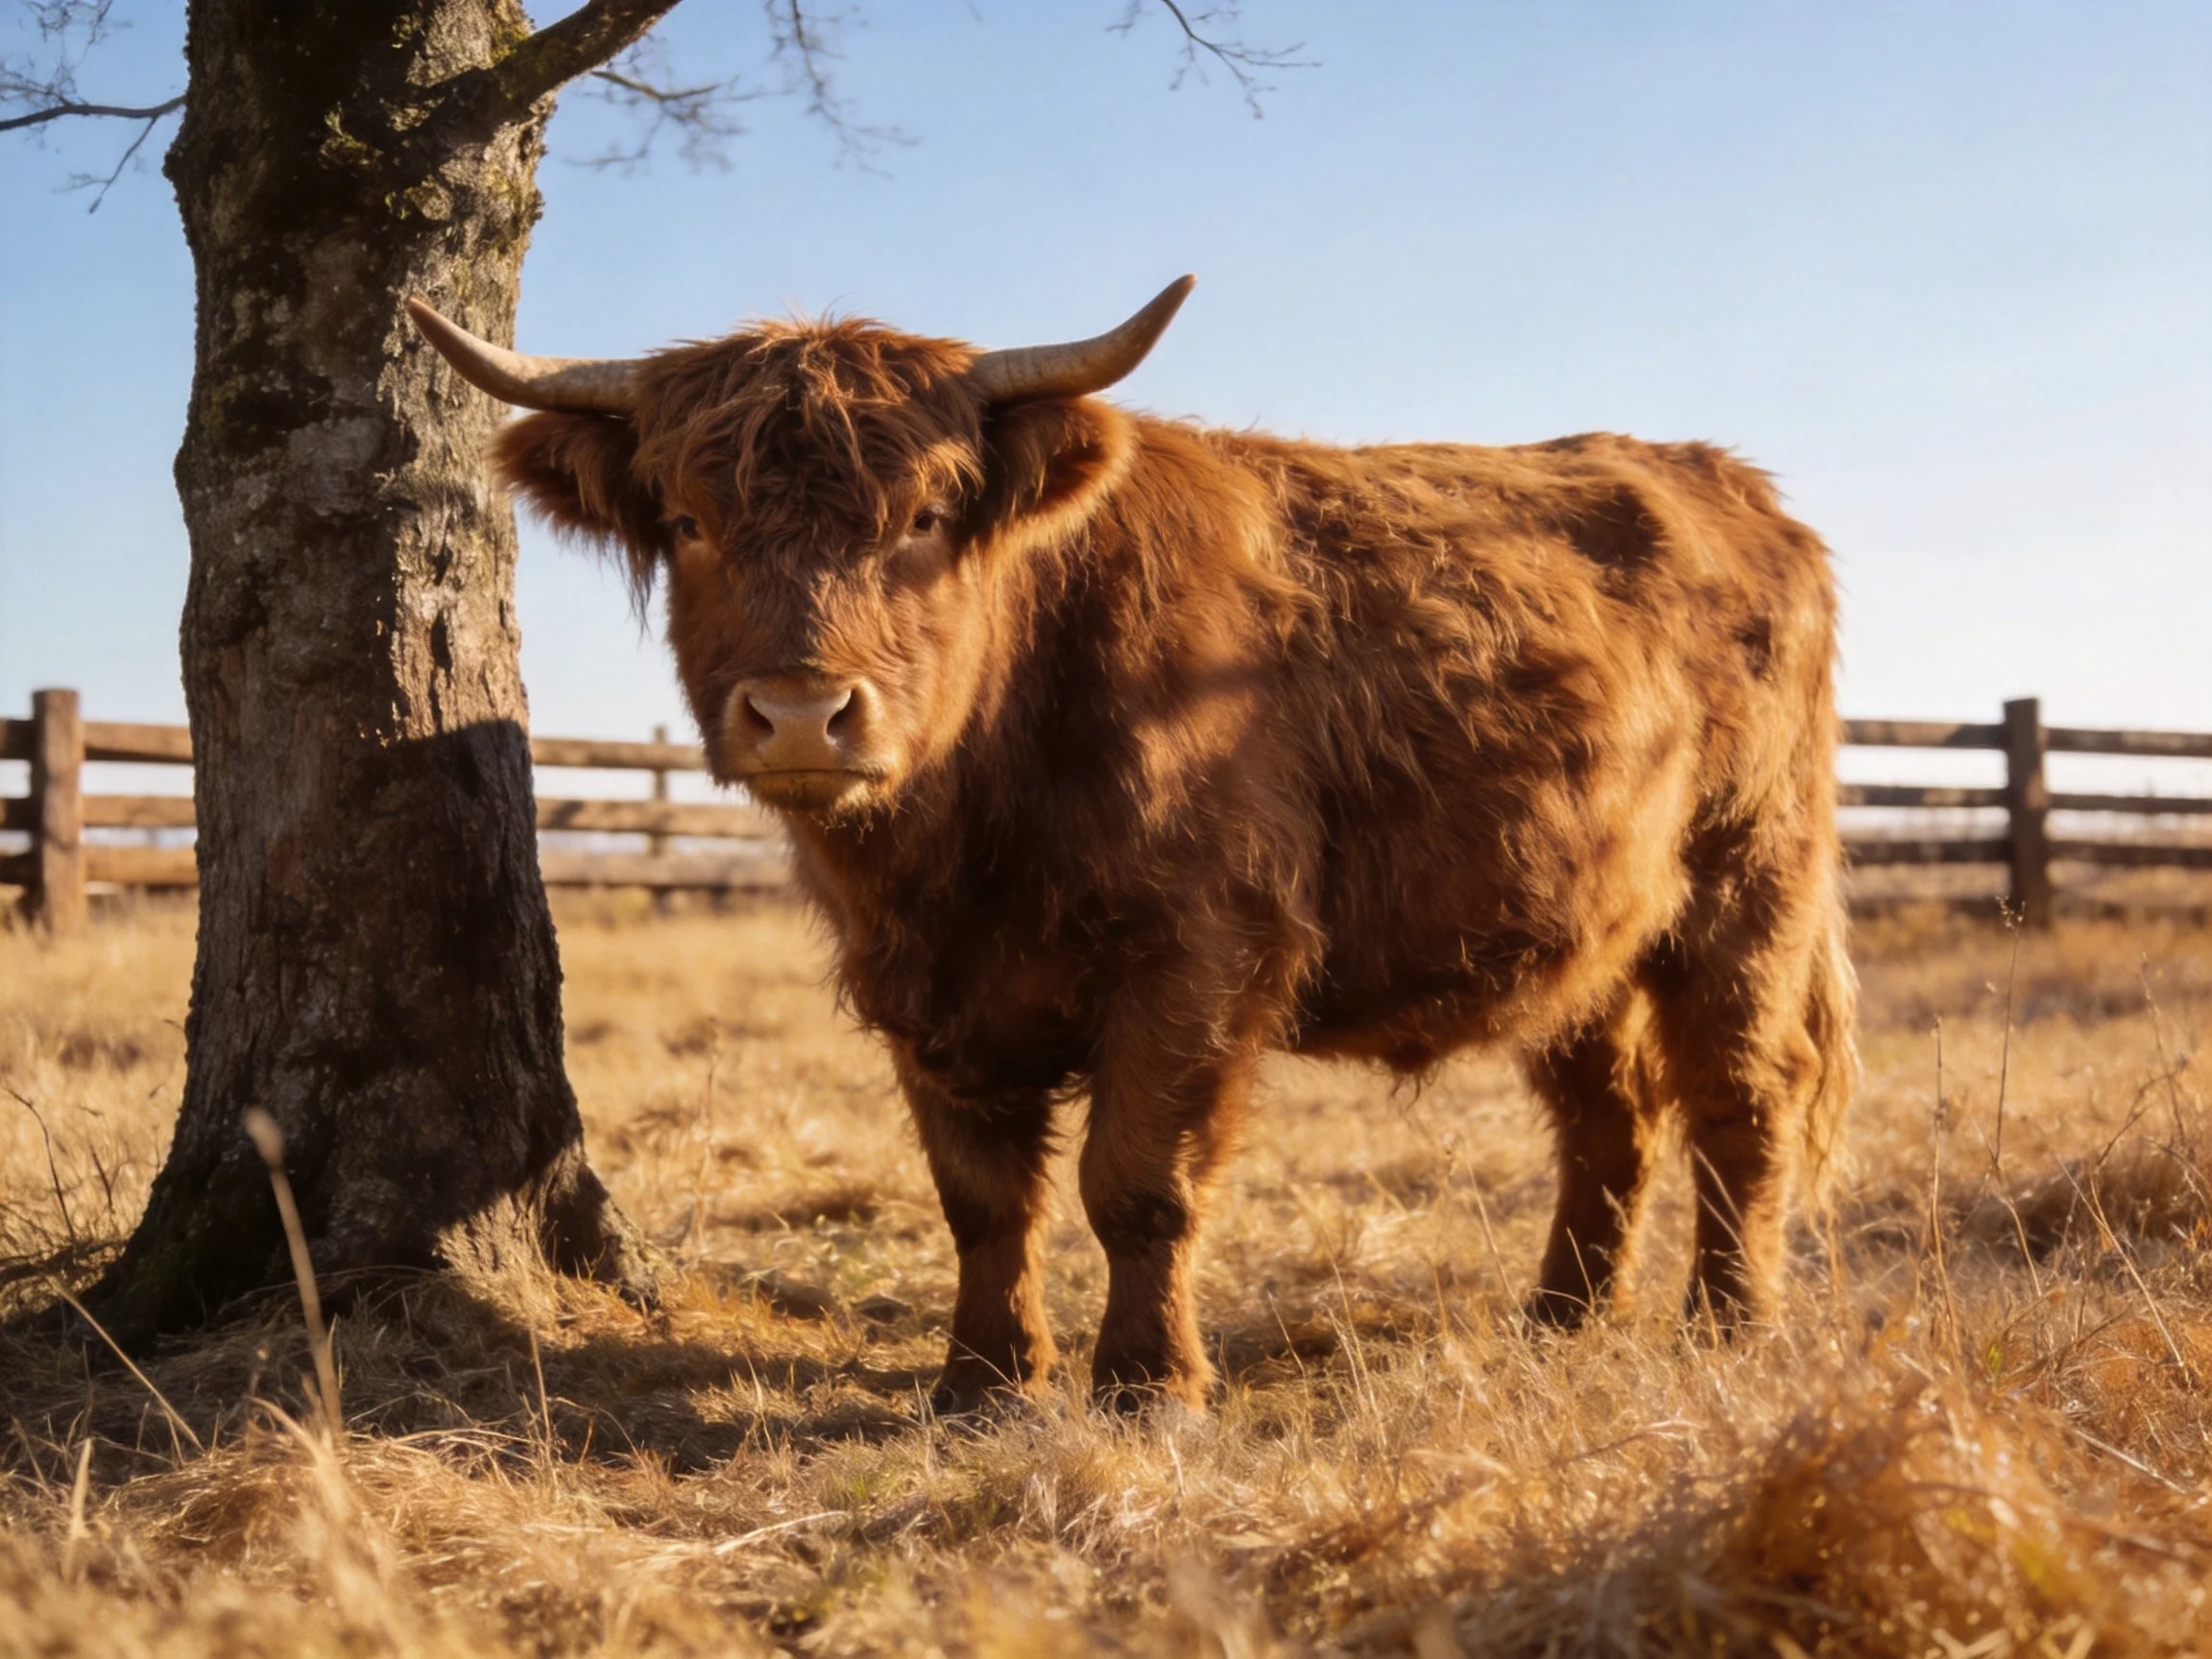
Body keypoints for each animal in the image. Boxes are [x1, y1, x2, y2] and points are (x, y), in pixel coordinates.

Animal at [410, 279, 1856, 1414]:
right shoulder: (921, 985)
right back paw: (1562, 1320)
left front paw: (1150, 1384)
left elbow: (1138, 1182)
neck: (969, 826)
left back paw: (1729, 1324)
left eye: (926, 516)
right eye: (689, 521)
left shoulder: (1198, 955)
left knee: (1742, 1094)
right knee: (1609, 1114)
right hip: (1582, 922)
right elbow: (984, 1197)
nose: (803, 713)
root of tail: (1734, 484)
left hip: (1747, 880)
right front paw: (985, 1381)